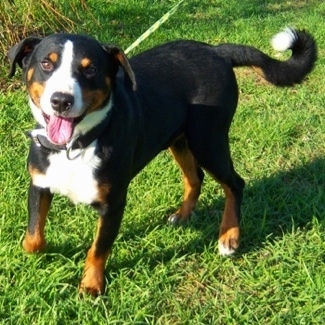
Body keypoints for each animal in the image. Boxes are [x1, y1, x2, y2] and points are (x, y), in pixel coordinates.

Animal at [7, 27, 316, 294]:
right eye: (46, 64)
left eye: (90, 69)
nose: (61, 100)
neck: (76, 146)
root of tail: (216, 51)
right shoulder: (39, 185)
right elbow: (33, 238)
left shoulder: (113, 204)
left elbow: (98, 250)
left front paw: (92, 286)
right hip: (179, 140)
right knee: (195, 177)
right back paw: (183, 215)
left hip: (208, 140)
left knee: (234, 184)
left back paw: (229, 237)